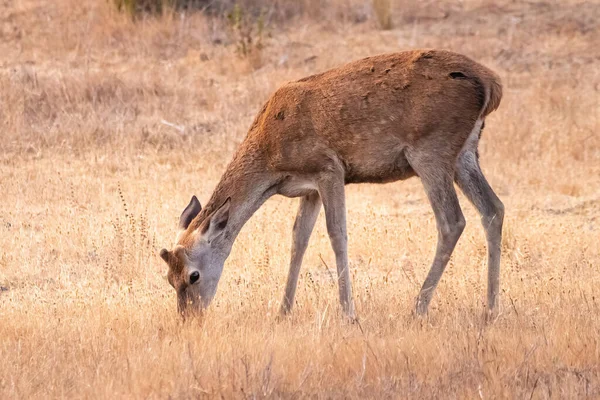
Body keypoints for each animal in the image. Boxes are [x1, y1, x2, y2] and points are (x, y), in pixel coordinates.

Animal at [158, 48, 502, 320]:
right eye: (168, 279)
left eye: (193, 275)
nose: (188, 318)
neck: (271, 160)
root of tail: (492, 84)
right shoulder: (308, 187)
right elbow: (298, 239)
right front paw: (283, 312)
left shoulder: (329, 167)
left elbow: (337, 234)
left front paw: (348, 313)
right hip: (466, 153)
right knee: (493, 208)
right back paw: (490, 309)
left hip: (431, 149)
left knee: (452, 221)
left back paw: (417, 308)